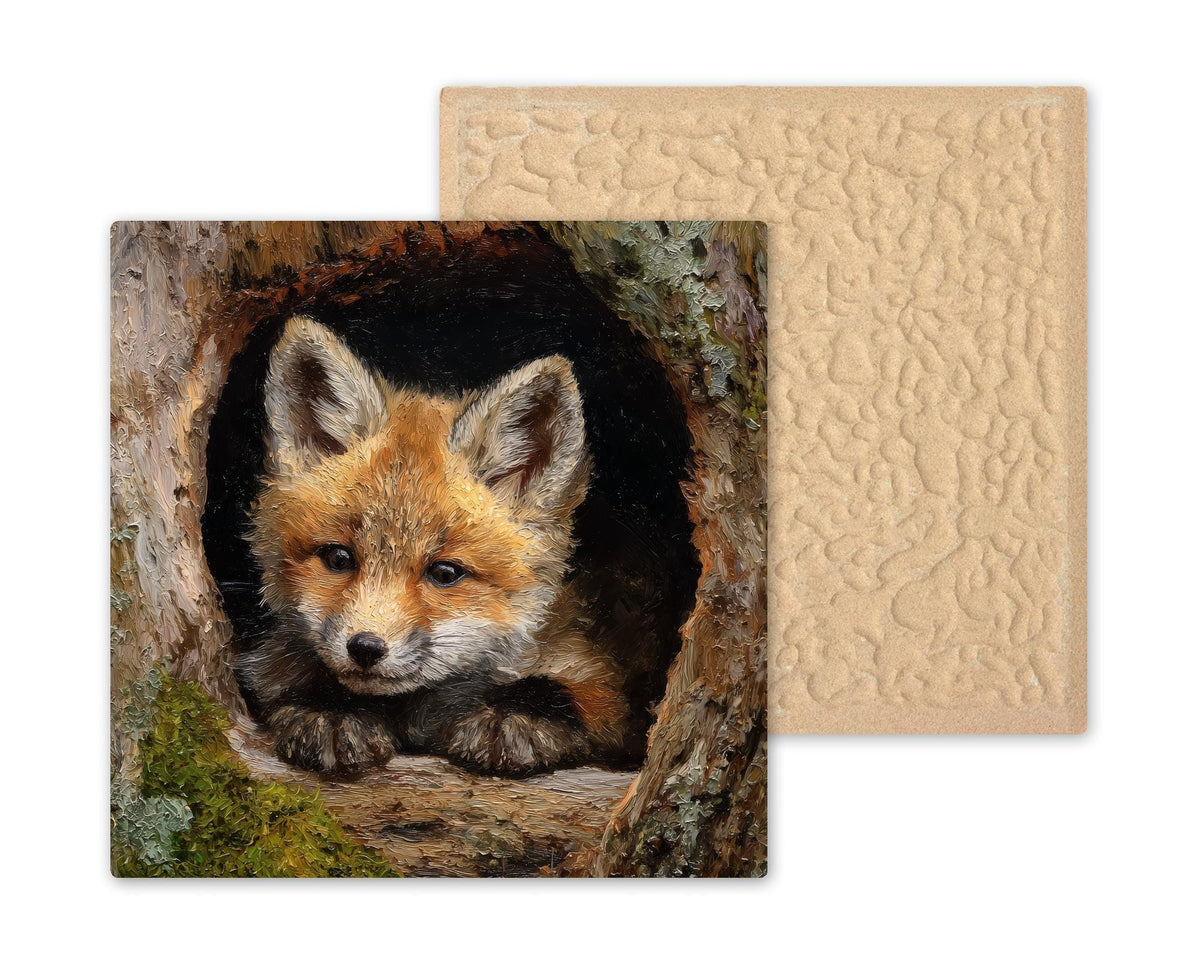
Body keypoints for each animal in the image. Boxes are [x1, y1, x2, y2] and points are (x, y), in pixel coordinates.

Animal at [237, 316, 634, 777]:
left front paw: (515, 714)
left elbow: (570, 691)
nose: (365, 648)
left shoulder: (589, 668)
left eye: (445, 573)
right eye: (338, 557)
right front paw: (332, 710)